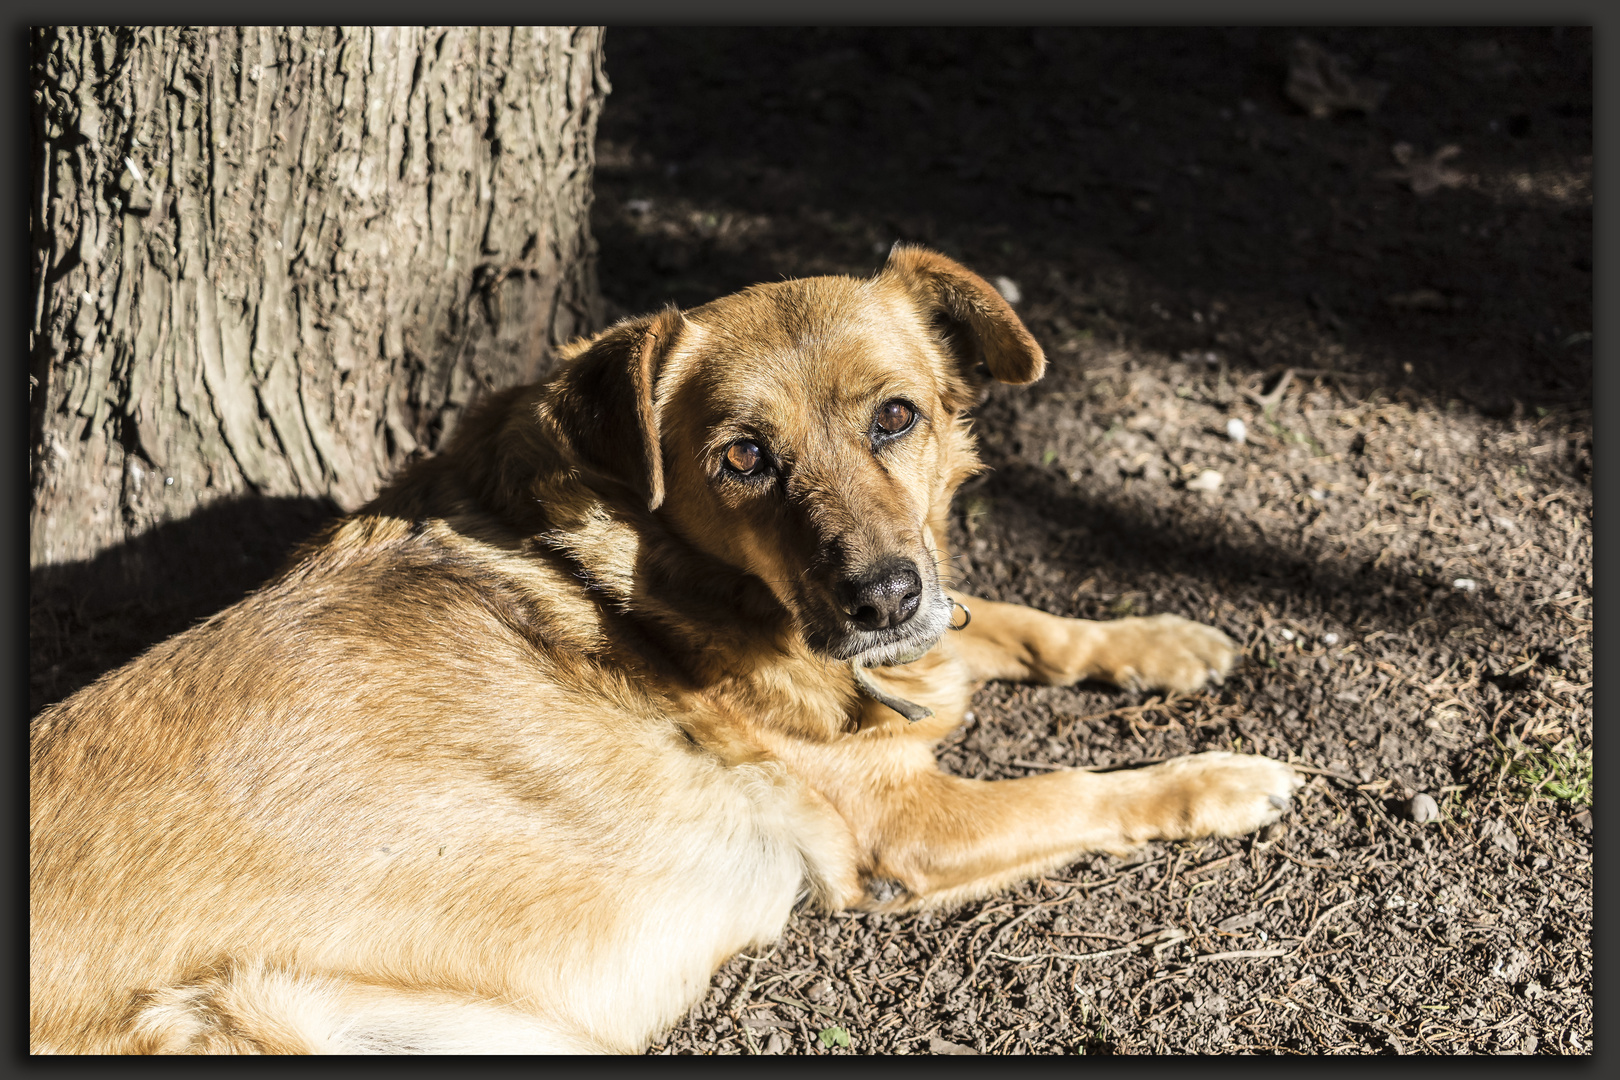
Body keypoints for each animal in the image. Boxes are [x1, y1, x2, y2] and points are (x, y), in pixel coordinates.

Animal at [31, 247, 1302, 1055]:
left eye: (896, 417)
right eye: (743, 457)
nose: (881, 598)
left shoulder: (933, 626)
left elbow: (1013, 619)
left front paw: (1157, 642)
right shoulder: (913, 827)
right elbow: (1089, 789)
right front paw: (1222, 780)